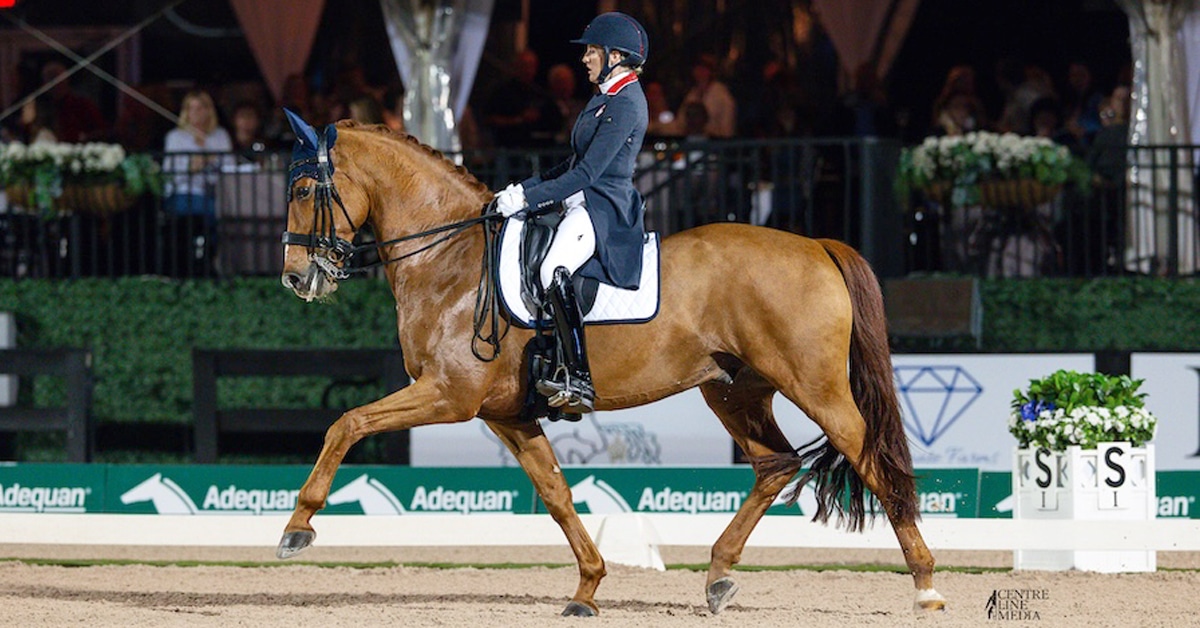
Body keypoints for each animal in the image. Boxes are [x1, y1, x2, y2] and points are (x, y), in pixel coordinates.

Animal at [276, 119, 947, 617]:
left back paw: (926, 587)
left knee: (871, 459)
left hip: (815, 386)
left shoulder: (448, 395)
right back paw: (717, 575)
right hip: (735, 391)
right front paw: (588, 587)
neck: (452, 260)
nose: (295, 278)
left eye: (305, 192)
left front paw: (298, 527)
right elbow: (554, 492)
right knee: (776, 464)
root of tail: (816, 245)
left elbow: (346, 423)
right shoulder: (506, 415)